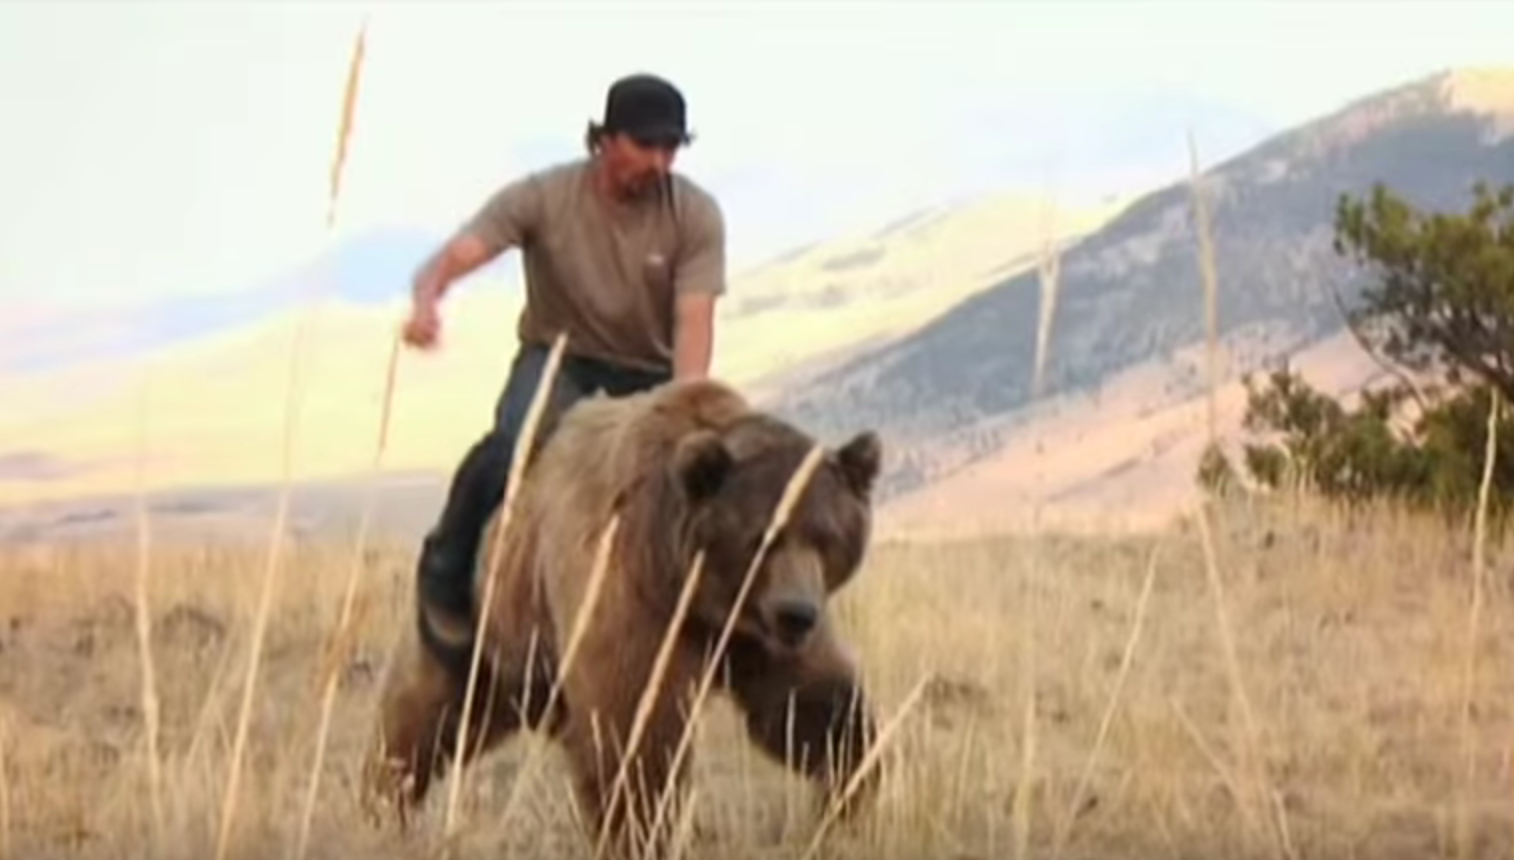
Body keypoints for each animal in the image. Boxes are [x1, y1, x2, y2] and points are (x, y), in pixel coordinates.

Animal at [364, 378, 884, 860]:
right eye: (763, 537)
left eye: (826, 536)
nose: (797, 613)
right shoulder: (626, 591)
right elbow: (632, 734)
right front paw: (643, 833)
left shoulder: (751, 633)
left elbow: (814, 708)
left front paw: (848, 792)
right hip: (486, 639)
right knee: (418, 721)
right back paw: (384, 798)